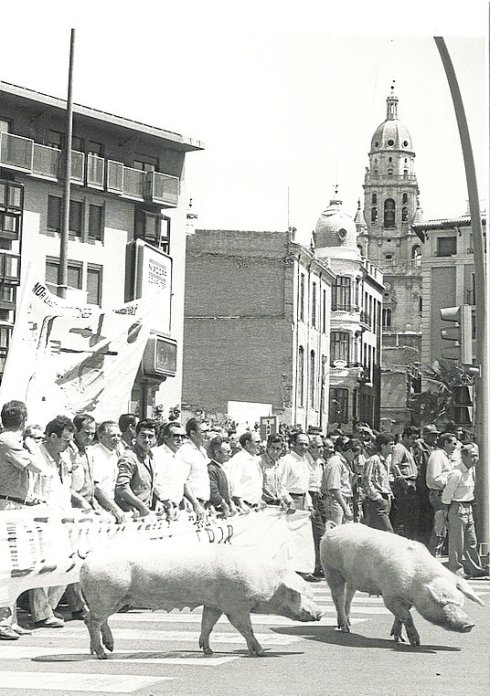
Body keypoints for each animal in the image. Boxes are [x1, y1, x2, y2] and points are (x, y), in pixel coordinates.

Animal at [79, 540, 322, 660]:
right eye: (299, 593)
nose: (320, 613)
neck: (264, 581)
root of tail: (88, 560)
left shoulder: (214, 604)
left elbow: (207, 624)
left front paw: (208, 651)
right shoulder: (234, 604)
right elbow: (245, 628)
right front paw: (260, 653)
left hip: (116, 598)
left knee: (98, 620)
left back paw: (106, 648)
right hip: (108, 593)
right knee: (91, 620)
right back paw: (101, 654)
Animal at [320, 520, 484, 648]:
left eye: (459, 603)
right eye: (442, 603)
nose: (469, 624)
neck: (416, 585)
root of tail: (332, 530)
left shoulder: (405, 599)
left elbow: (400, 617)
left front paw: (398, 639)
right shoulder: (390, 596)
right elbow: (407, 617)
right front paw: (415, 643)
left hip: (351, 577)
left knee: (348, 598)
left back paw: (348, 624)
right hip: (331, 569)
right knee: (337, 599)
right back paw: (346, 629)